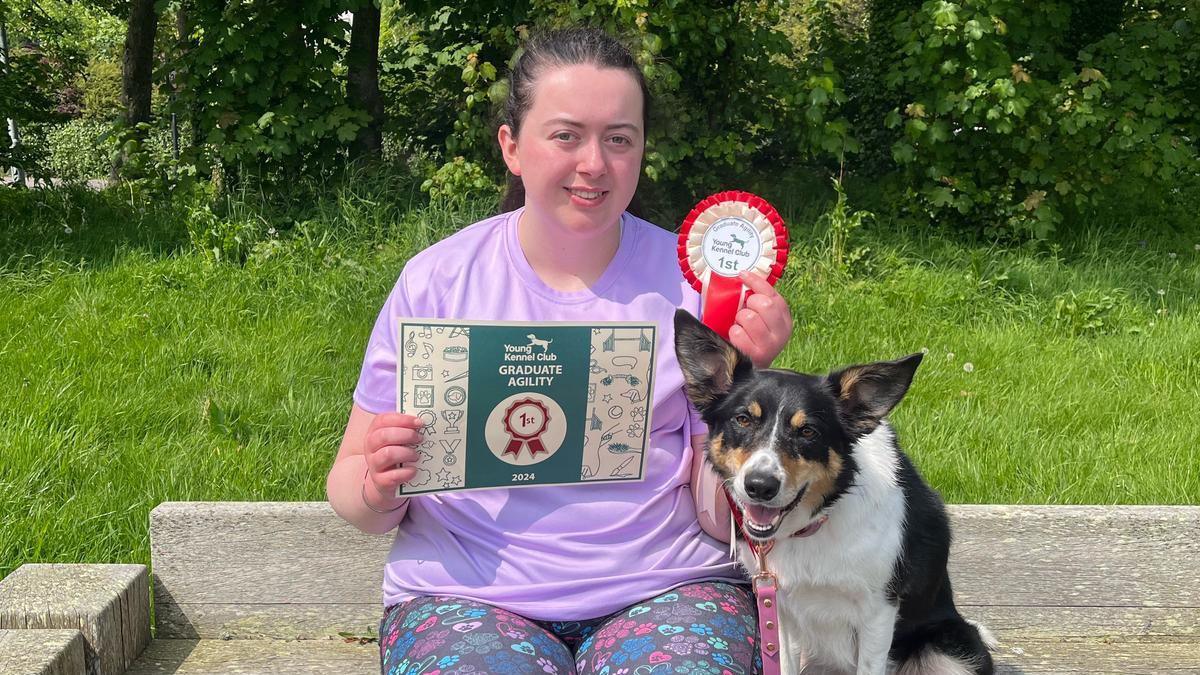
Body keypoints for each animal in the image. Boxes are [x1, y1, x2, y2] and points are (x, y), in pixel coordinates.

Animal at [676, 307, 993, 667]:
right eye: (742, 419)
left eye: (808, 431)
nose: (760, 486)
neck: (814, 525)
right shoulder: (778, 608)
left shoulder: (878, 613)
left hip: (952, 650)